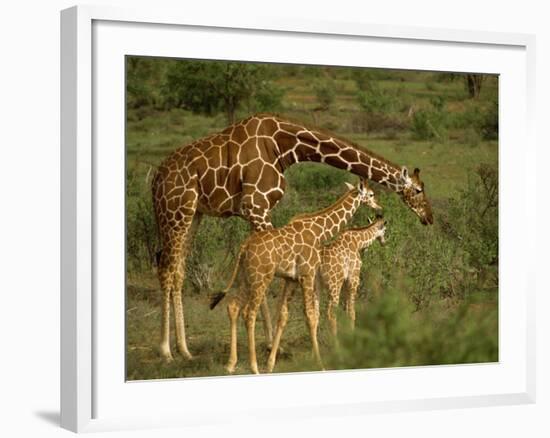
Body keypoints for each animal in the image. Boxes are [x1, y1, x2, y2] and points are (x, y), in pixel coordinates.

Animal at [209, 178, 382, 372]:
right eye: (371, 194)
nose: (379, 207)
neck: (319, 231)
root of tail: (244, 247)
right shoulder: (307, 274)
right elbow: (311, 316)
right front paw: (320, 364)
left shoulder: (290, 279)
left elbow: (283, 316)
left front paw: (271, 364)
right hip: (261, 278)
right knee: (249, 313)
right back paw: (254, 367)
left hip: (246, 277)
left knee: (233, 306)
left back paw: (231, 364)